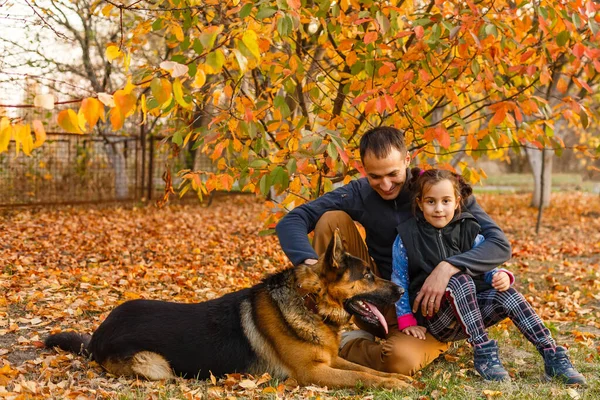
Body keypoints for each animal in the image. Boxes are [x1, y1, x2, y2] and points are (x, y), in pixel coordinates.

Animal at [45, 230, 412, 390]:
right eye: (368, 275)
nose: (401, 290)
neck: (309, 302)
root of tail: (98, 334)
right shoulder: (313, 373)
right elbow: (360, 377)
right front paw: (396, 385)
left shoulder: (329, 361)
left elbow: (366, 370)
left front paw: (395, 378)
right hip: (155, 366)